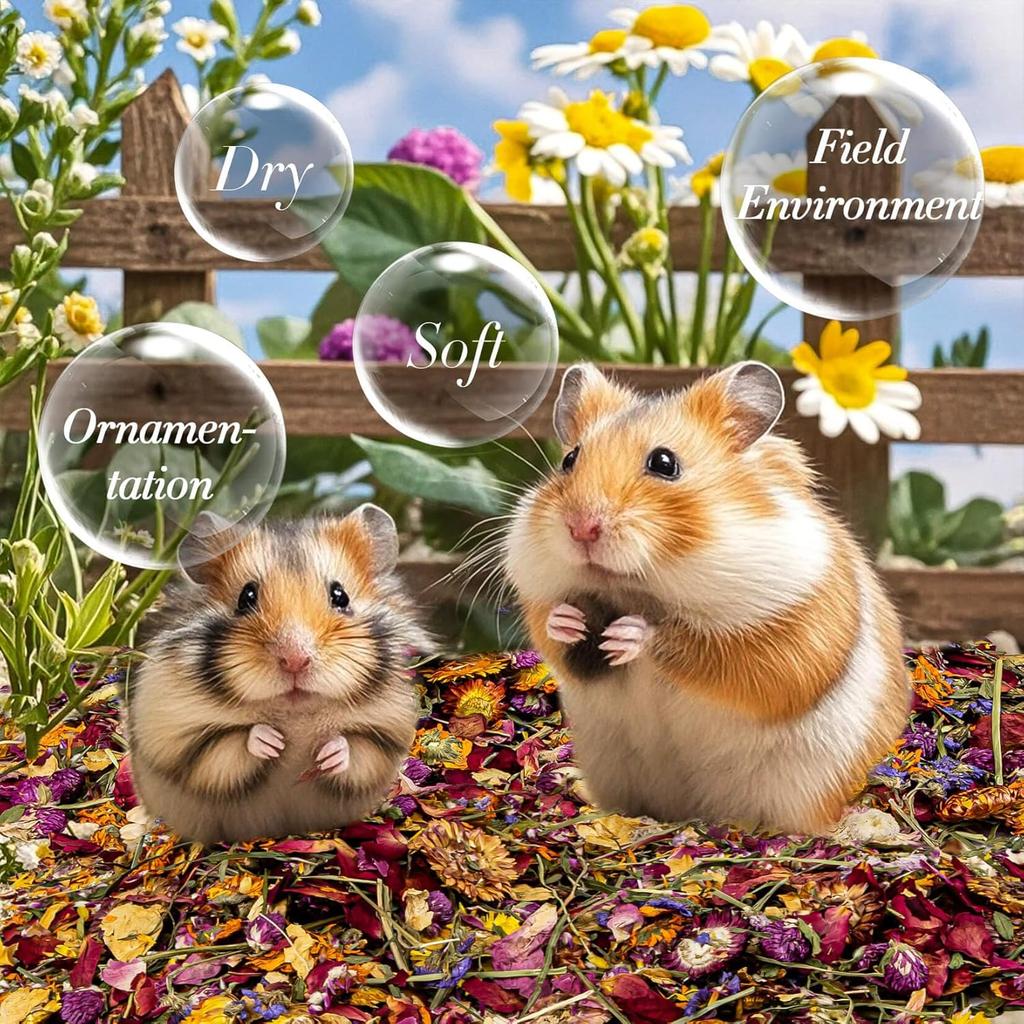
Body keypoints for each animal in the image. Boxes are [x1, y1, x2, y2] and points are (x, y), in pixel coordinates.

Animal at [127, 505, 428, 844]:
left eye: (340, 596)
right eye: (246, 597)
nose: (295, 660)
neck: (294, 715)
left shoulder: (385, 734)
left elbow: (357, 747)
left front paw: (328, 754)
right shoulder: (180, 739)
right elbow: (229, 743)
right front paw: (272, 742)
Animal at [505, 361, 909, 835]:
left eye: (665, 463)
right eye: (569, 460)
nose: (580, 527)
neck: (638, 587)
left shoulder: (782, 642)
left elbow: (697, 649)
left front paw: (629, 634)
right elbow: (557, 637)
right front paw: (568, 620)